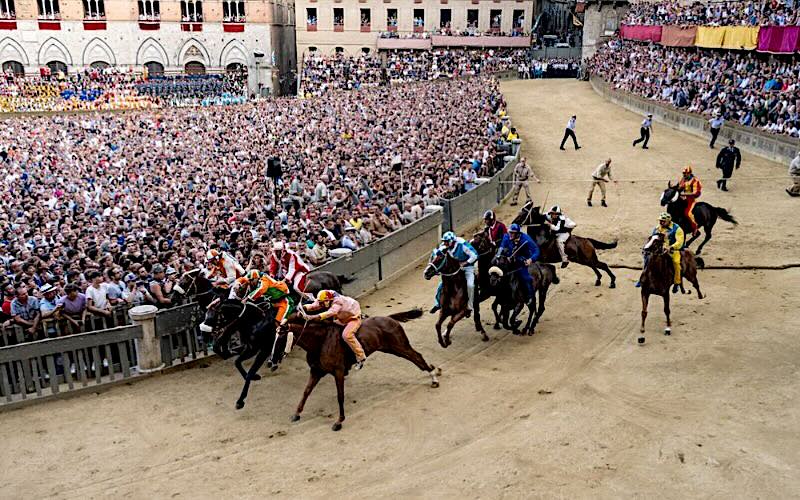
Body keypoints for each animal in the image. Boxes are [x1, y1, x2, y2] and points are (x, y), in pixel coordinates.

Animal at [272, 308, 440, 430]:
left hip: (399, 346)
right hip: (392, 348)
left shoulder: (338, 372)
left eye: (281, 339)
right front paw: (296, 414)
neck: (320, 342)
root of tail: (389, 318)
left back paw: (434, 377)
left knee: (417, 357)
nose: (271, 362)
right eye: (273, 339)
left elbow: (340, 396)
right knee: (417, 358)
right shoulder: (316, 371)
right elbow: (306, 392)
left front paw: (339, 421)